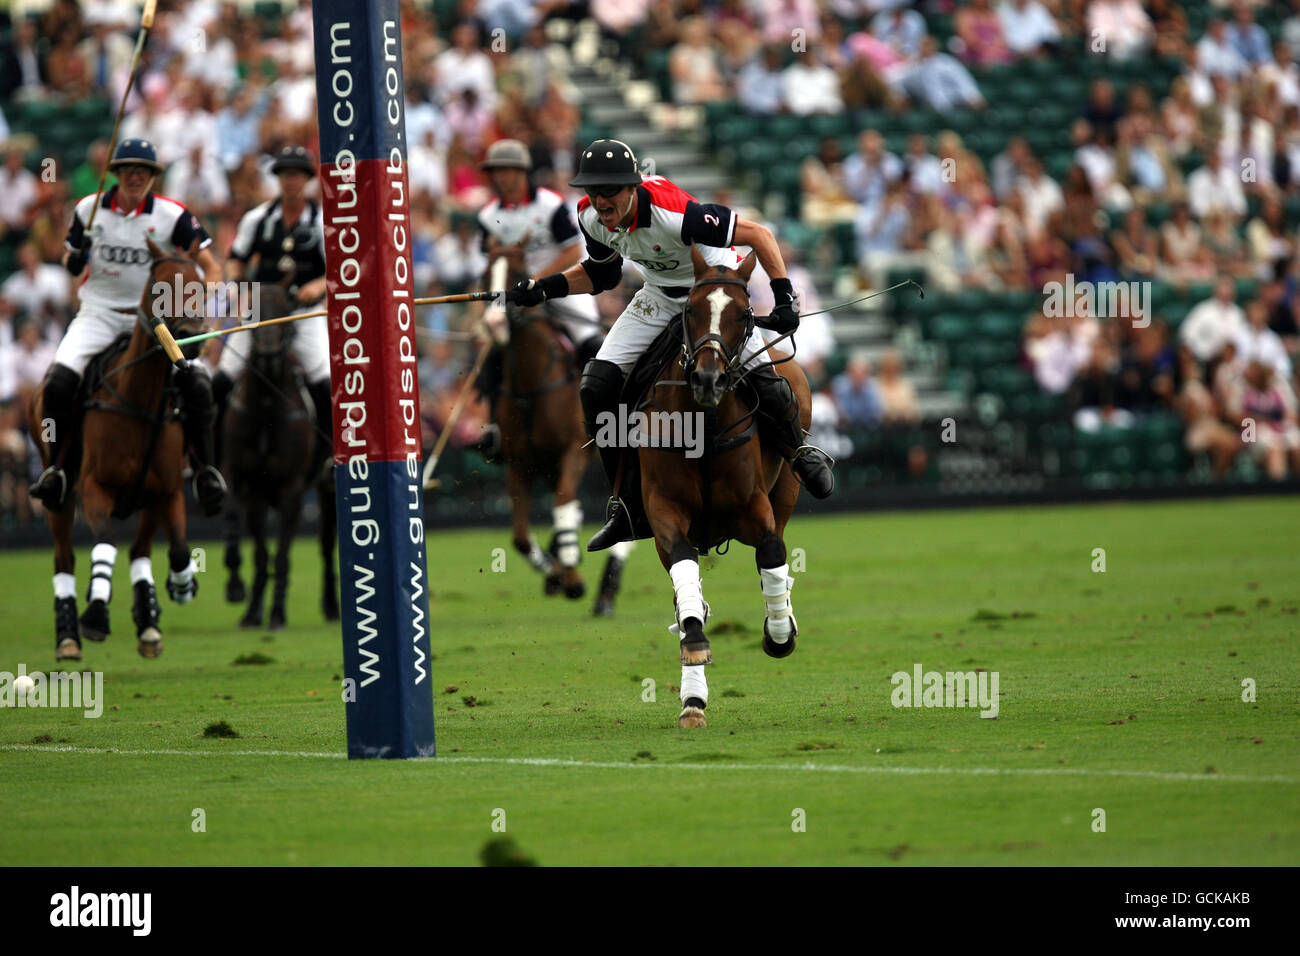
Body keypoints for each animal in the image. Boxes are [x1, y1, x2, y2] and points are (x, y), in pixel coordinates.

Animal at [222, 283, 340, 629]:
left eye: (286, 311)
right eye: (249, 311)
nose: (268, 357)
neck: (266, 408)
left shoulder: (292, 490)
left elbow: (282, 555)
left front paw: (276, 614)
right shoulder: (245, 483)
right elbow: (257, 550)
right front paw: (247, 604)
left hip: (326, 488)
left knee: (326, 545)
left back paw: (331, 606)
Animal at [637, 244, 806, 723]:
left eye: (743, 314)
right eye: (691, 310)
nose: (708, 380)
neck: (705, 427)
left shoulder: (754, 507)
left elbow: (772, 553)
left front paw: (779, 633)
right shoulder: (663, 509)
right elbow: (683, 567)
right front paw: (694, 647)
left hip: (787, 490)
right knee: (686, 592)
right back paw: (692, 698)